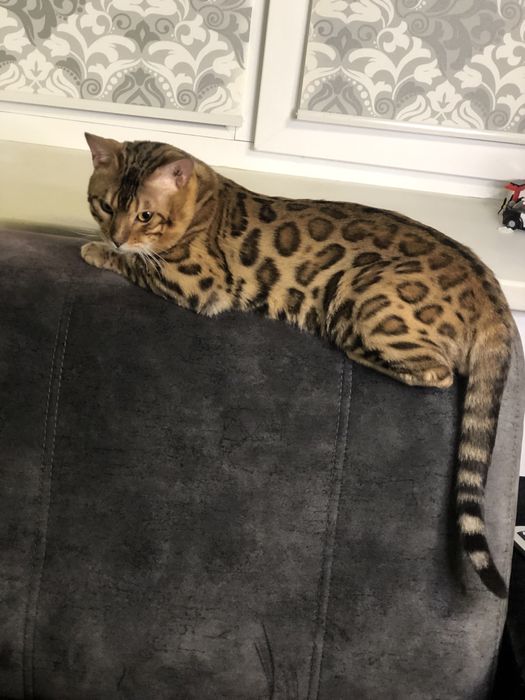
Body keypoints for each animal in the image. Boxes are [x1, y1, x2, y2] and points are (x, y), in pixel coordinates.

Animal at [81, 132, 514, 598]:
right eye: (105, 205)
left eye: (145, 215)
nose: (116, 238)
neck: (203, 200)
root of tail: (493, 295)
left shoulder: (196, 281)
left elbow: (138, 264)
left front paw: (96, 251)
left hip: (367, 302)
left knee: (439, 373)